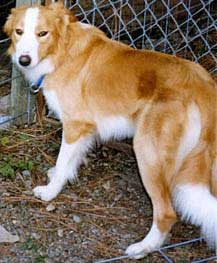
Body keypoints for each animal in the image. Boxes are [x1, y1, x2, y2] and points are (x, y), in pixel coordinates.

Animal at [3, 2, 217, 260]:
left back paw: (142, 248)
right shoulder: (86, 129)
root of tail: (202, 86)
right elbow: (70, 162)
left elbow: (64, 160)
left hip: (147, 152)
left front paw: (50, 191)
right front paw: (58, 176)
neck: (62, 50)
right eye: (19, 32)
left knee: (166, 213)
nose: (23, 60)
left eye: (42, 33)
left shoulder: (75, 125)